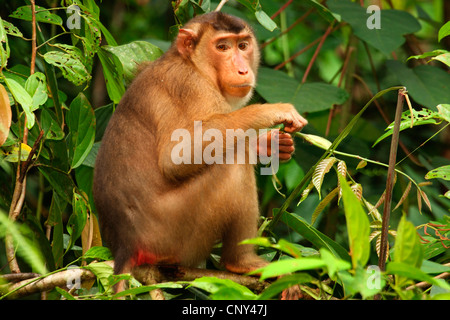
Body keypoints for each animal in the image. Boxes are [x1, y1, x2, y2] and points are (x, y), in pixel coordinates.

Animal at [93, 11, 308, 298]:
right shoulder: (192, 88)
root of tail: (124, 245)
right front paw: (269, 112)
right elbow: (178, 157)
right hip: (172, 233)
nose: (243, 69)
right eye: (222, 47)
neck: (195, 66)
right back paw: (240, 262)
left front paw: (270, 145)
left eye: (243, 45)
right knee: (231, 163)